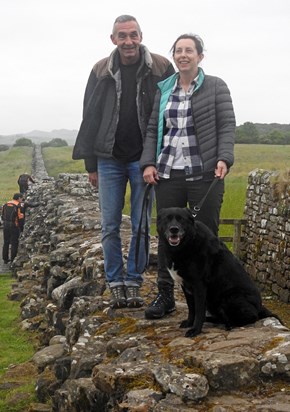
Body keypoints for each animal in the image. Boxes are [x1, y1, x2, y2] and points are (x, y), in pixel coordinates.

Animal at [157, 208, 280, 336]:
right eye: (167, 219)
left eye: (181, 219)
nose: (174, 229)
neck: (189, 242)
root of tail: (260, 308)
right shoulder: (186, 286)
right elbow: (191, 308)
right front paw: (189, 323)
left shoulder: (199, 285)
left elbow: (199, 310)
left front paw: (195, 330)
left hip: (229, 298)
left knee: (250, 318)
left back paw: (228, 325)